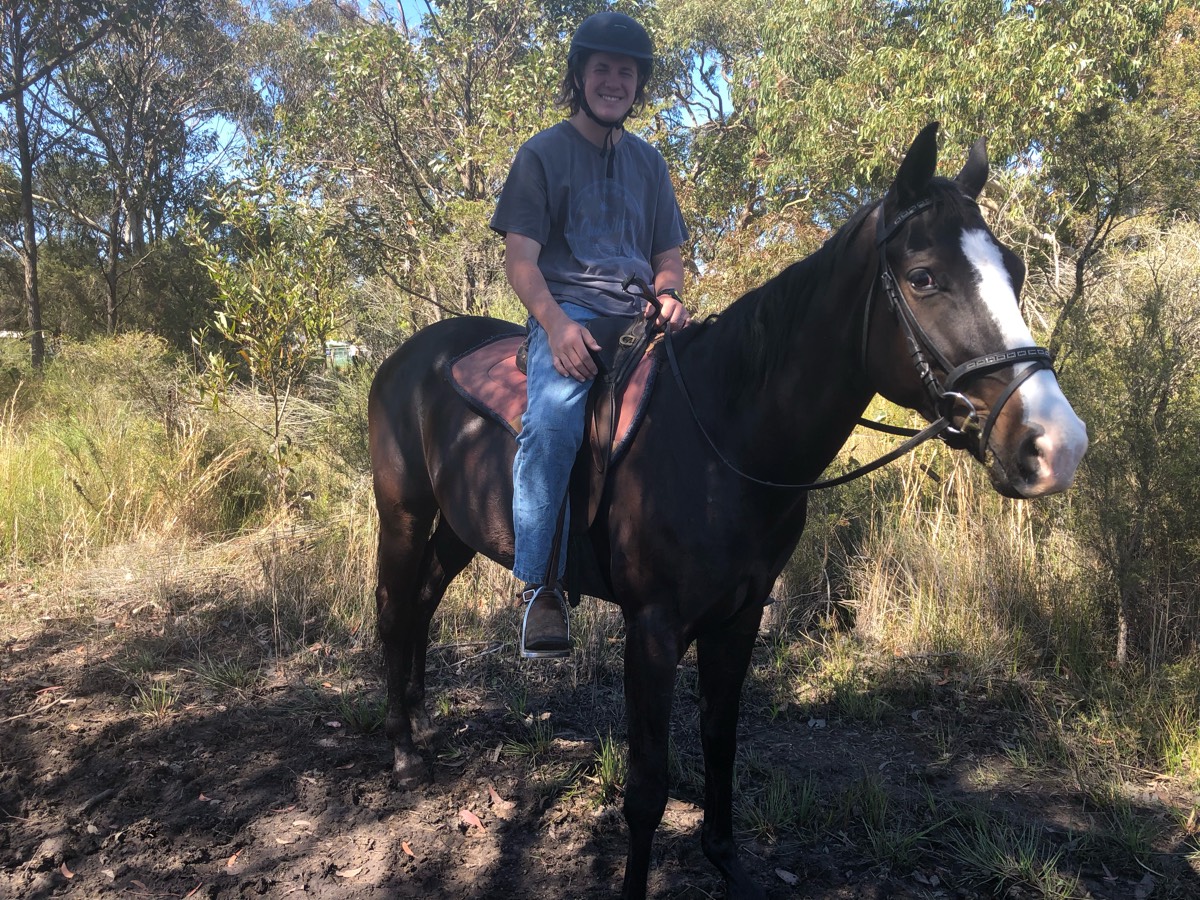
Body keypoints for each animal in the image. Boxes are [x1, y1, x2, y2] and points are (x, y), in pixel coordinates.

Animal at [367, 123, 1088, 899]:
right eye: (924, 276)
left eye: (1015, 268)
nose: (1056, 444)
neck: (723, 433)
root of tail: (406, 357)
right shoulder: (653, 630)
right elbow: (647, 787)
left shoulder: (739, 617)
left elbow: (721, 741)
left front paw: (724, 858)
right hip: (403, 514)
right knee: (393, 607)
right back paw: (402, 752)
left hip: (458, 528)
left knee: (424, 601)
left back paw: (422, 721)